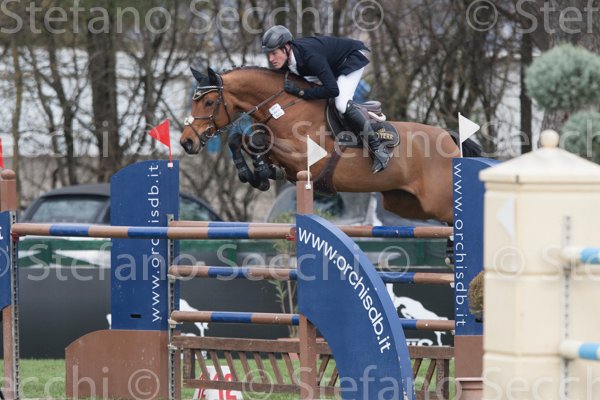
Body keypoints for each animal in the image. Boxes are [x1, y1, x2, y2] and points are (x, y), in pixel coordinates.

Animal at [180, 66, 480, 224]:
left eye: (208, 102)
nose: (186, 142)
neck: (285, 106)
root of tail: (449, 138)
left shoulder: (304, 157)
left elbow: (256, 140)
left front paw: (261, 172)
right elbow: (241, 139)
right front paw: (256, 173)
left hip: (439, 201)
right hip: (408, 204)